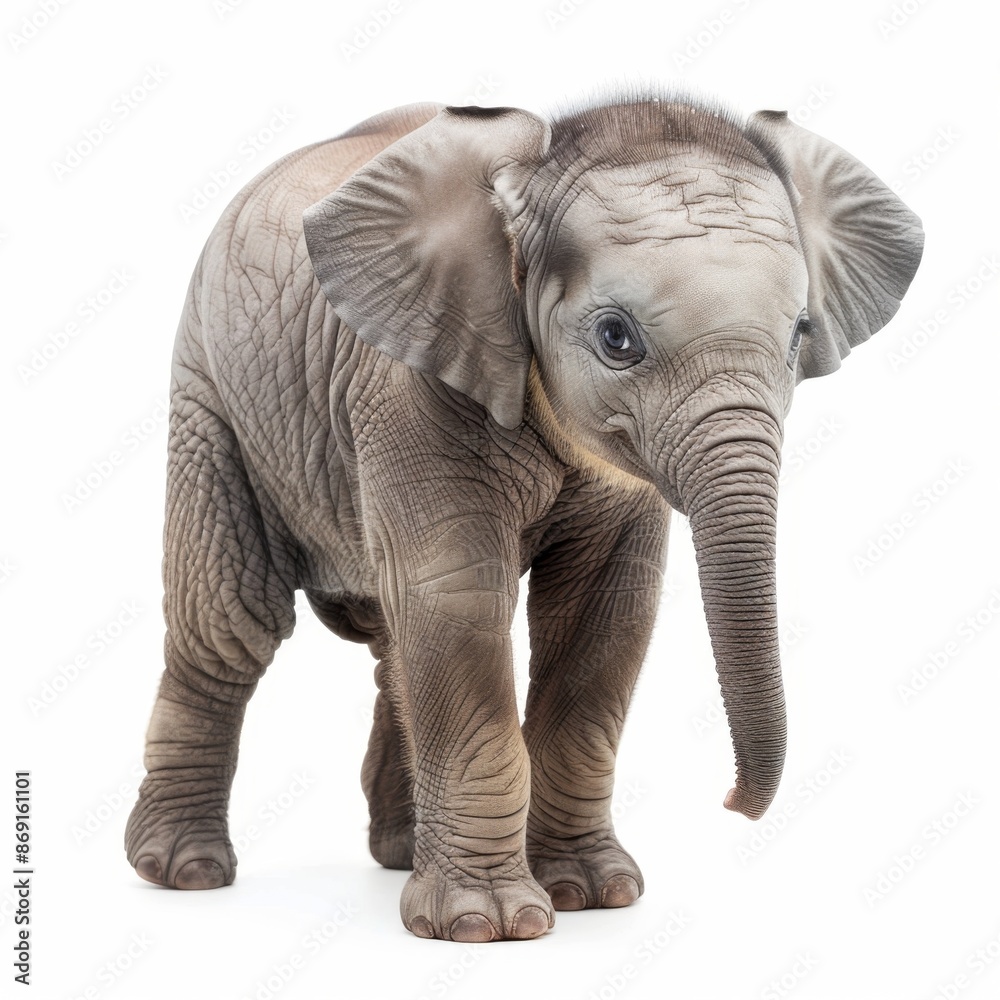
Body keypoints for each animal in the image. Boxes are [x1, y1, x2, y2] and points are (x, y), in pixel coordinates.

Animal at [124, 92, 923, 942]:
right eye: (616, 337)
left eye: (800, 333)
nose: (733, 803)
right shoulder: (407, 386)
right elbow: (459, 600)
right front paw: (487, 925)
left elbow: (604, 615)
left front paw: (591, 895)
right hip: (210, 396)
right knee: (231, 626)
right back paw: (184, 873)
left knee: (390, 636)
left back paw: (400, 855)